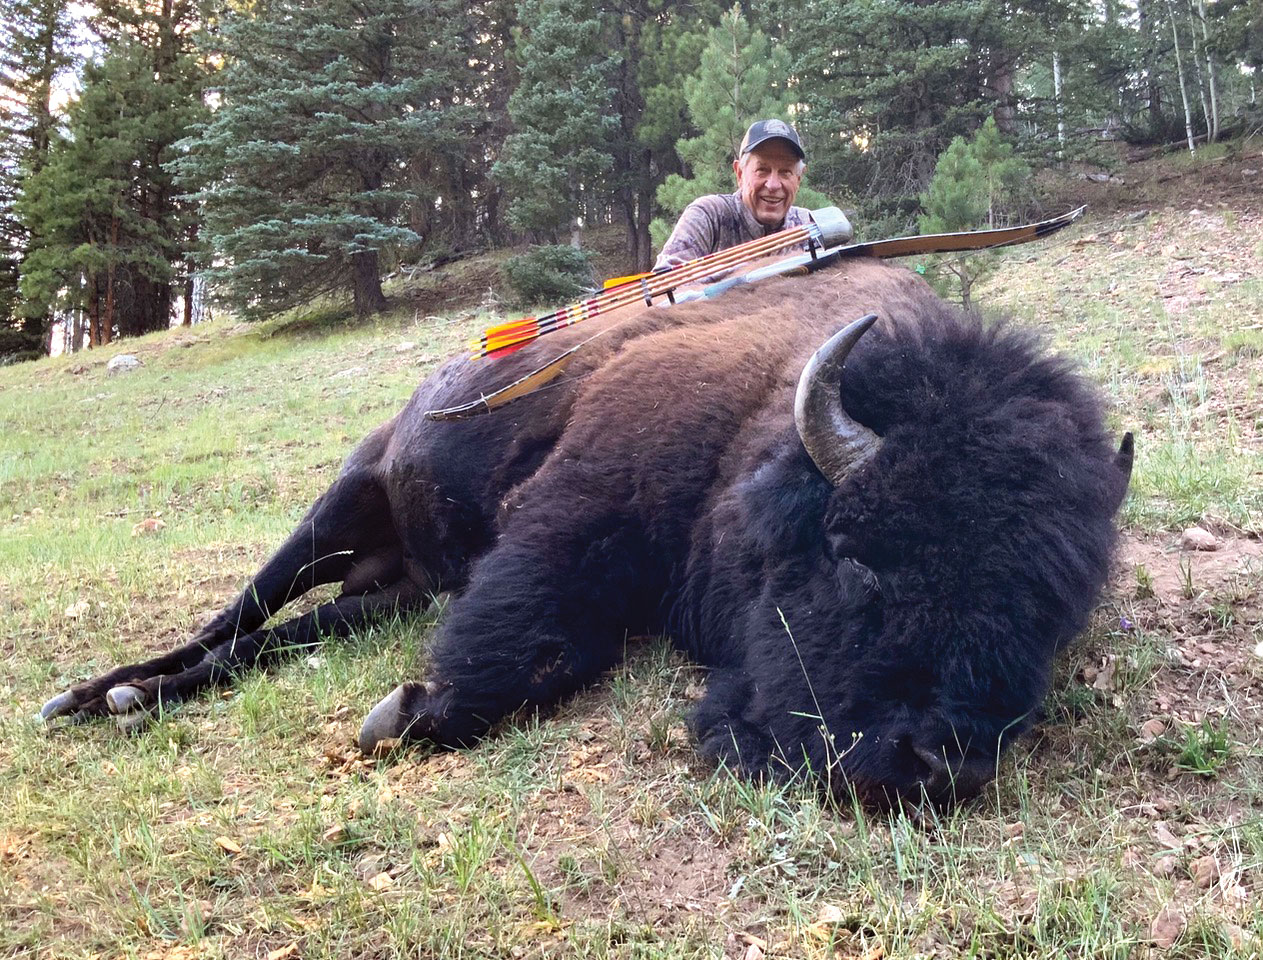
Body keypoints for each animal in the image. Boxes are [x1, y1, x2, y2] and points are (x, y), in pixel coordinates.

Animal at [41, 258, 1136, 808]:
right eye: (861, 556)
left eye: (1048, 614)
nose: (938, 764)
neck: (756, 430)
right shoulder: (567, 516)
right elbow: (536, 630)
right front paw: (411, 712)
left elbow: (560, 646)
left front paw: (404, 705)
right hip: (340, 508)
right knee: (240, 612)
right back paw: (97, 696)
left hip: (392, 587)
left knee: (287, 633)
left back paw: (129, 699)